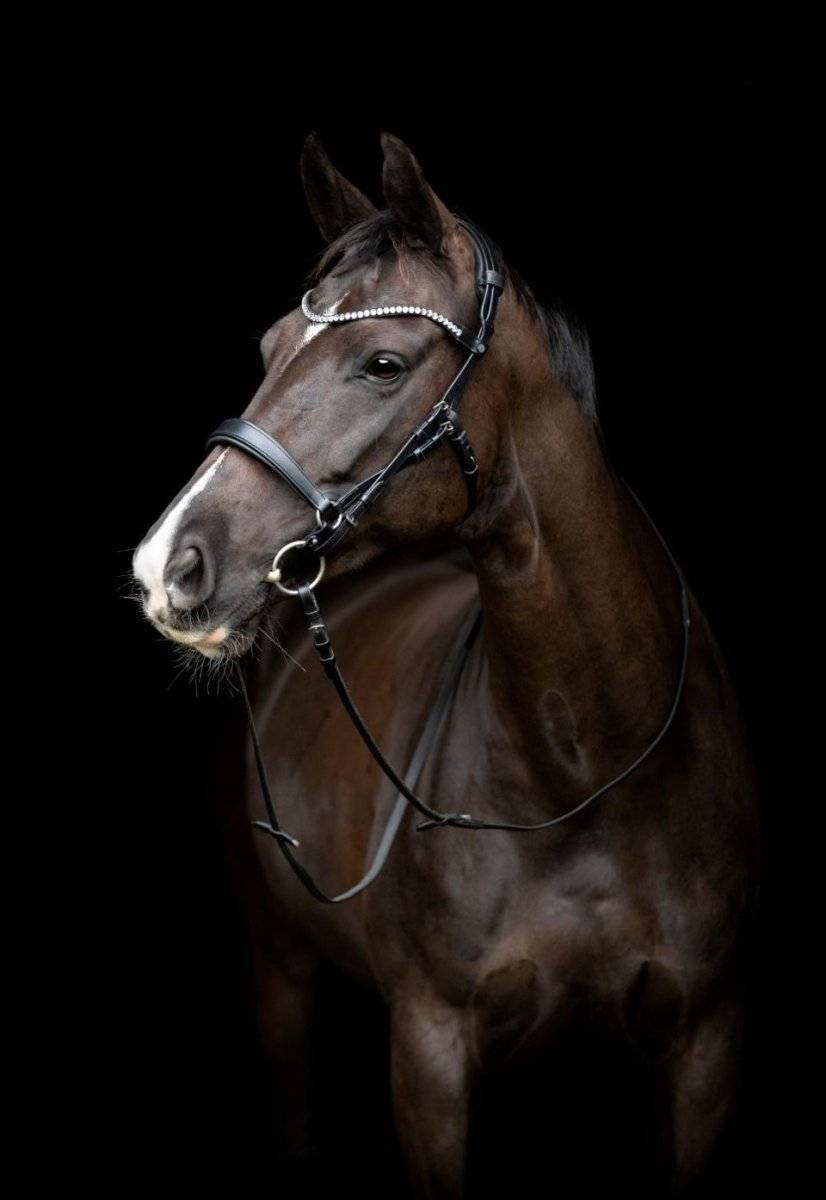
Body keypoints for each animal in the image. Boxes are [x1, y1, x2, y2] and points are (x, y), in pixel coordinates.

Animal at [132, 130, 761, 1196]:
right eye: (267, 348)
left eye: (383, 363)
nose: (168, 564)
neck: (587, 773)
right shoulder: (429, 1053)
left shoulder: (707, 1048)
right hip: (280, 969)